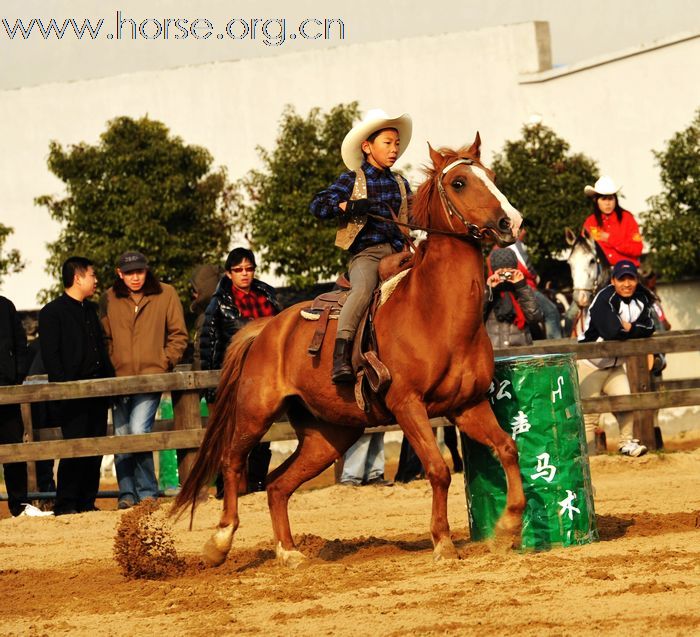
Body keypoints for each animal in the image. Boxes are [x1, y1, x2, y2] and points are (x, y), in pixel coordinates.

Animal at [174, 135, 524, 568]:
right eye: (459, 182)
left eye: (490, 175)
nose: (512, 222)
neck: (435, 311)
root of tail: (267, 329)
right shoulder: (407, 405)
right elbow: (438, 470)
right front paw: (443, 543)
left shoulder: (467, 406)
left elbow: (508, 449)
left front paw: (508, 528)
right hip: (255, 413)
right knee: (233, 463)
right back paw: (219, 543)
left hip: (329, 435)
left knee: (276, 485)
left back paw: (289, 552)